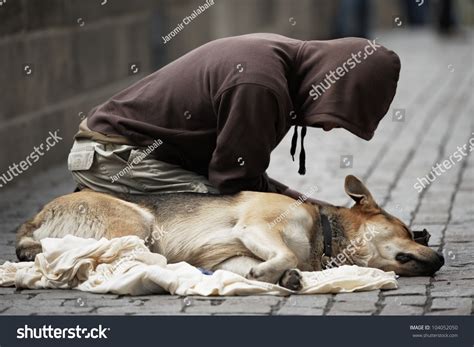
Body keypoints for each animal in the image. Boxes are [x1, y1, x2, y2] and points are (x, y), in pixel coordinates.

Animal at [15, 175, 444, 292]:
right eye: (408, 231)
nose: (441, 257)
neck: (323, 235)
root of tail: (32, 221)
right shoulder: (257, 226)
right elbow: (285, 254)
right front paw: (271, 274)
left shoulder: (237, 255)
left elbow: (272, 263)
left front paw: (283, 277)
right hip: (138, 224)